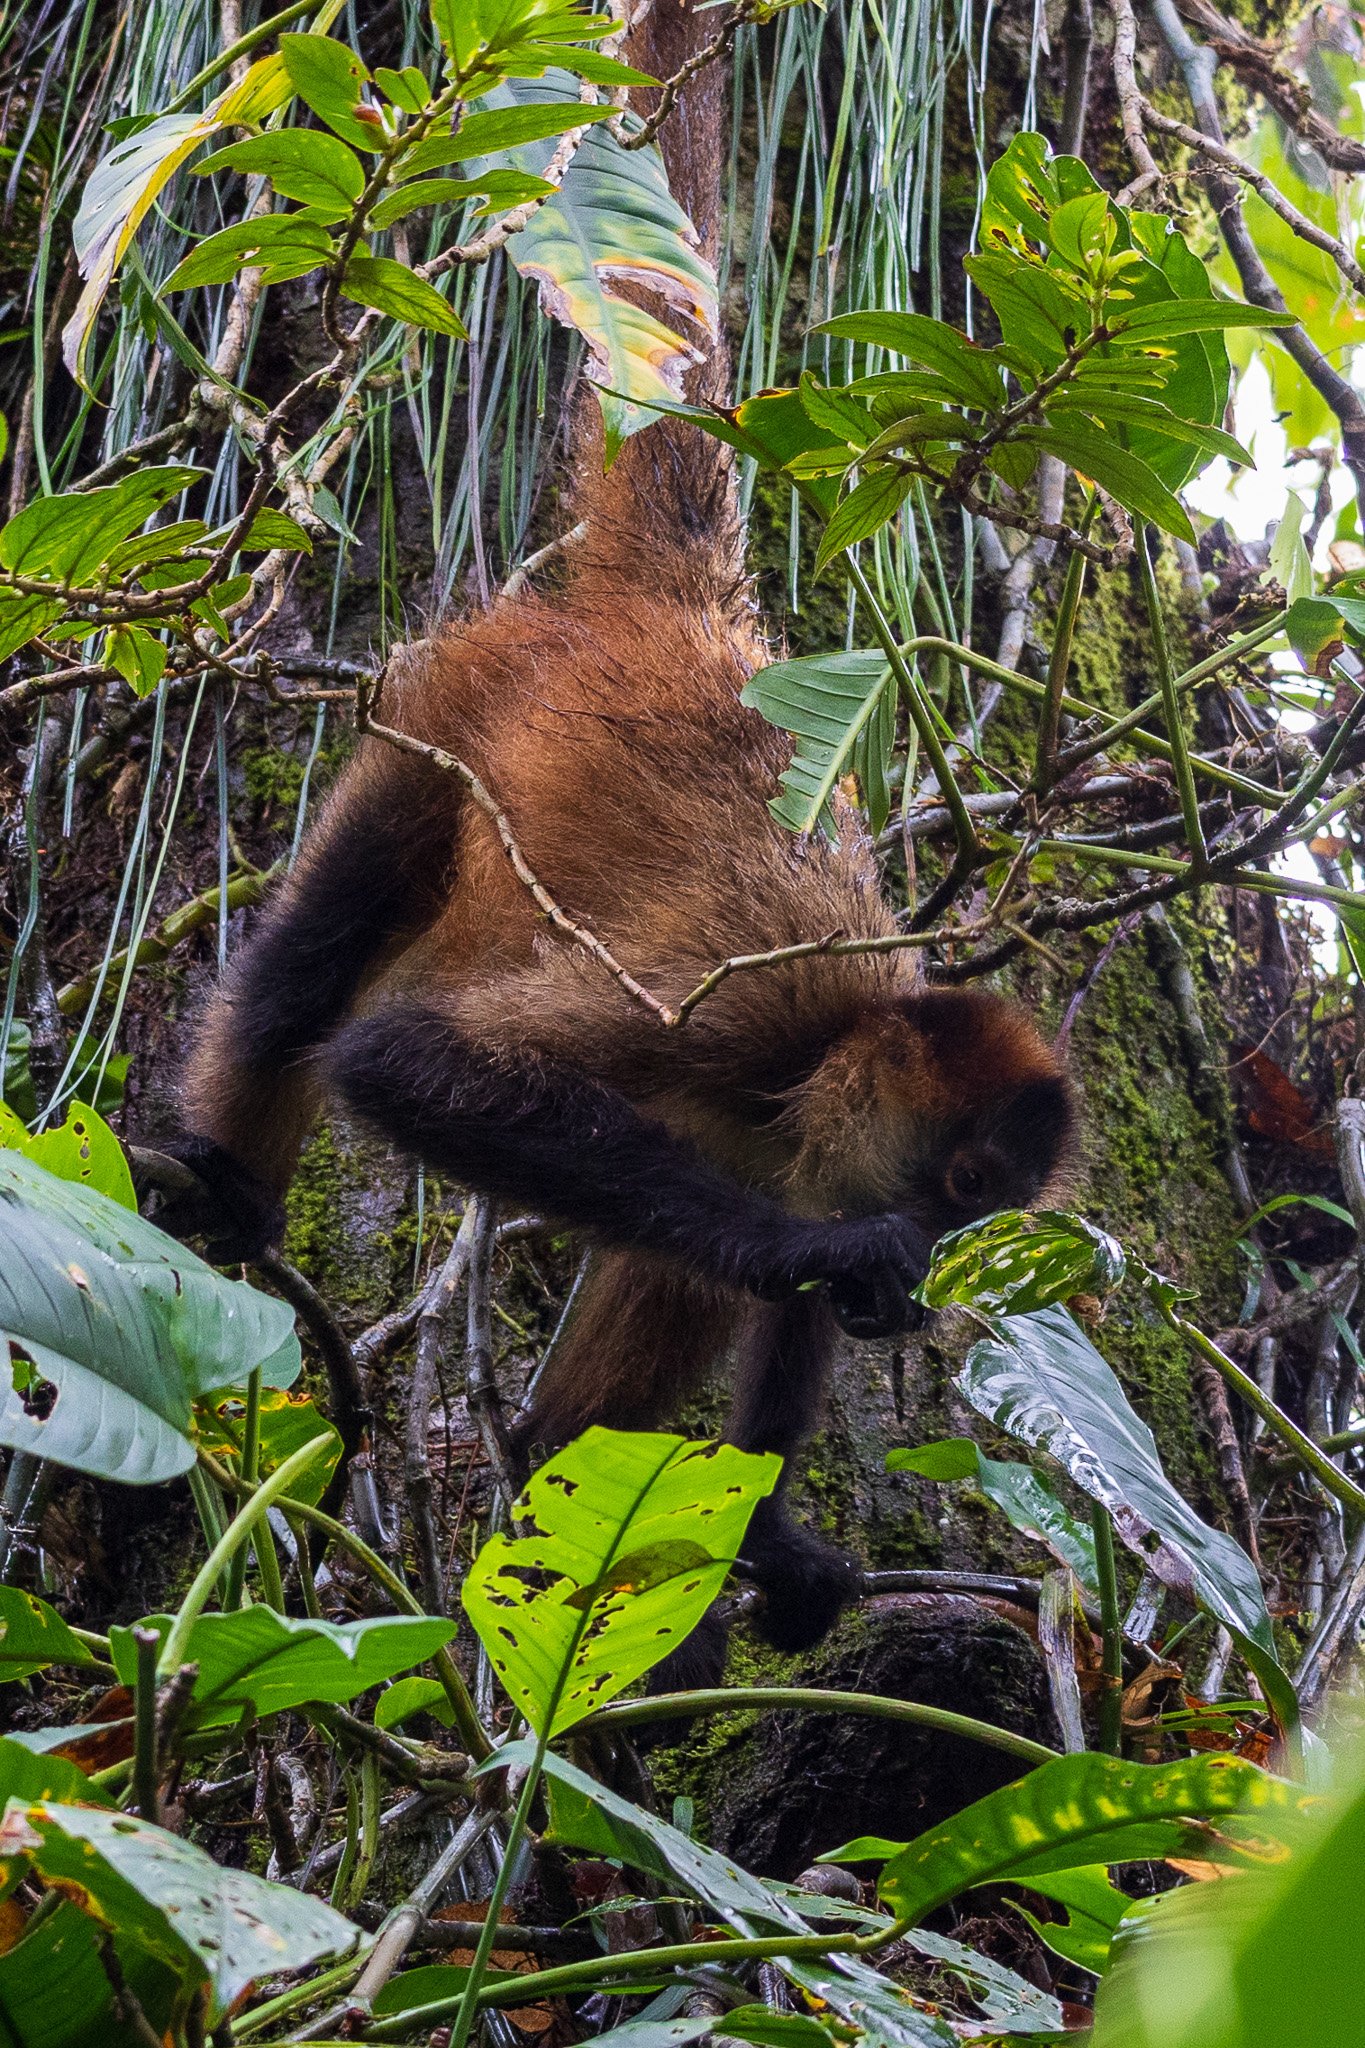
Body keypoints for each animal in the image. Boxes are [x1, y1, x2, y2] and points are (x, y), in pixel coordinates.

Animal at [165, 0, 1072, 1654]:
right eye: (963, 1191)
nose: (932, 1273)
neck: (843, 1037)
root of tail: (683, 617)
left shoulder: (793, 1114)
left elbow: (777, 1312)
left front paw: (764, 1529)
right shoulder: (739, 1023)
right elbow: (400, 1061)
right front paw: (831, 1262)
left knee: (675, 1263)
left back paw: (554, 1478)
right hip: (449, 706)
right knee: (315, 974)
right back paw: (233, 1203)